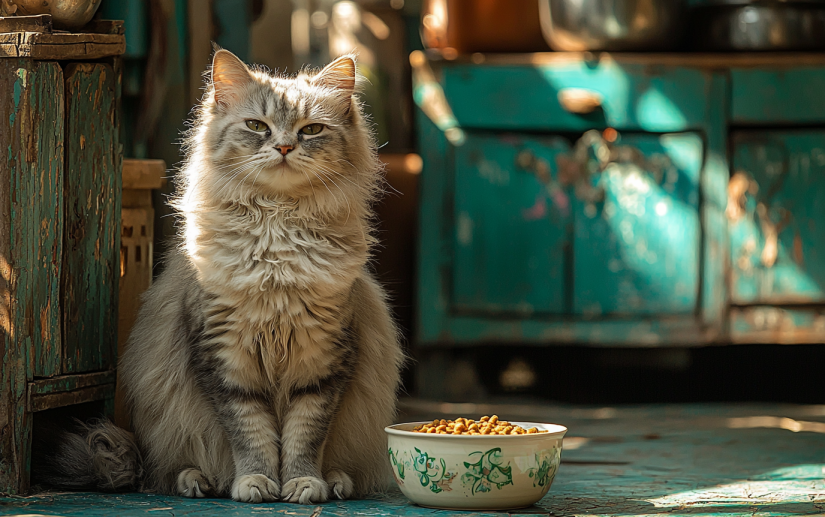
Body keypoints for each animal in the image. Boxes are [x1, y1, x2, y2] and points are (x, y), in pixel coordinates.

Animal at [41, 49, 402, 504]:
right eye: (257, 126)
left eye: (312, 130)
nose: (284, 146)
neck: (276, 235)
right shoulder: (226, 358)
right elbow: (251, 436)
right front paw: (255, 482)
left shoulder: (323, 359)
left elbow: (304, 437)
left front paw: (304, 484)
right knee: (164, 471)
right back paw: (198, 481)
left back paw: (336, 482)